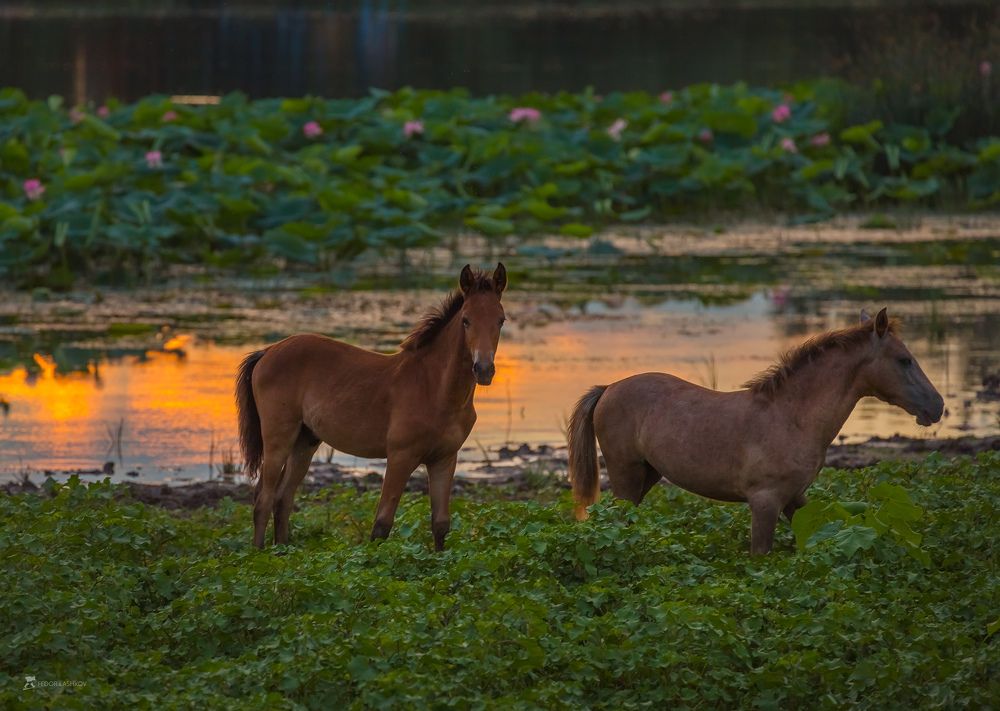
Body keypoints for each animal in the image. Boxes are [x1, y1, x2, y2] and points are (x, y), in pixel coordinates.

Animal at [236, 263, 507, 550]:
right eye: (466, 319)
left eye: (501, 320)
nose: (484, 370)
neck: (435, 389)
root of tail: (267, 352)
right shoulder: (400, 456)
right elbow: (382, 525)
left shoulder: (444, 459)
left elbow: (441, 524)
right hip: (278, 438)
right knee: (263, 500)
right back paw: (259, 554)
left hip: (305, 441)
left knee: (282, 499)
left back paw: (282, 551)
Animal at [567, 308, 944, 555]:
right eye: (904, 360)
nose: (937, 406)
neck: (792, 417)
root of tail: (608, 388)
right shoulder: (765, 501)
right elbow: (760, 556)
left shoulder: (793, 497)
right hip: (626, 473)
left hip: (648, 474)